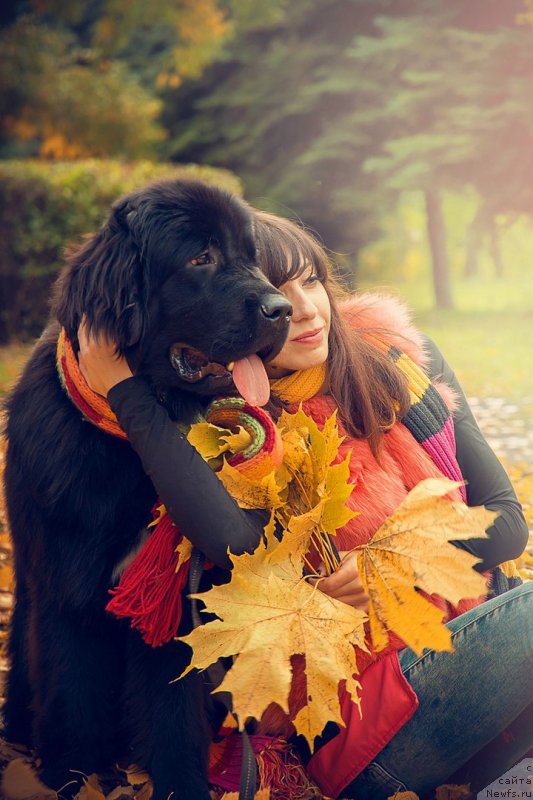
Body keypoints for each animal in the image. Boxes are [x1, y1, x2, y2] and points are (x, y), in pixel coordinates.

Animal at [3, 181, 290, 800]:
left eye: (250, 255)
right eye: (200, 257)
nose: (281, 309)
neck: (131, 439)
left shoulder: (175, 606)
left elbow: (171, 714)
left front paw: (182, 783)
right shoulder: (66, 586)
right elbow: (72, 699)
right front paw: (70, 778)